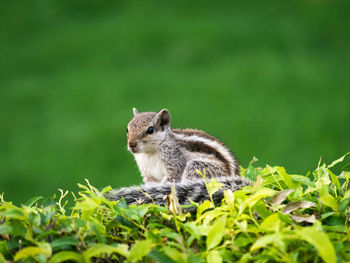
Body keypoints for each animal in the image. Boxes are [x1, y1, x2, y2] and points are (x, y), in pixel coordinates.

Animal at [105, 108, 250, 207]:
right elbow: (150, 183)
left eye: (150, 130)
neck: (149, 153)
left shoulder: (174, 162)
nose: (131, 145)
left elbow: (171, 178)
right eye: (127, 129)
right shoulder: (148, 174)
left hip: (197, 167)